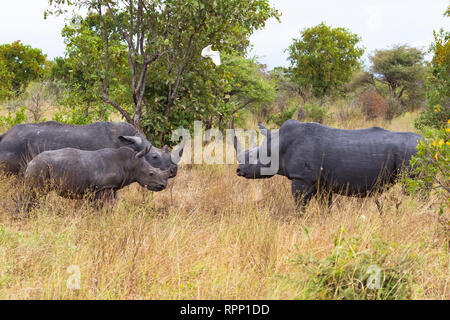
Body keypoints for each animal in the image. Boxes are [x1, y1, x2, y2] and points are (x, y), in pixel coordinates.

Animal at [22, 146, 169, 208]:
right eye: (151, 173)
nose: (163, 185)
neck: (131, 163)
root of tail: (30, 163)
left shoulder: (110, 188)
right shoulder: (104, 187)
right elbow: (102, 207)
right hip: (40, 168)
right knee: (36, 194)